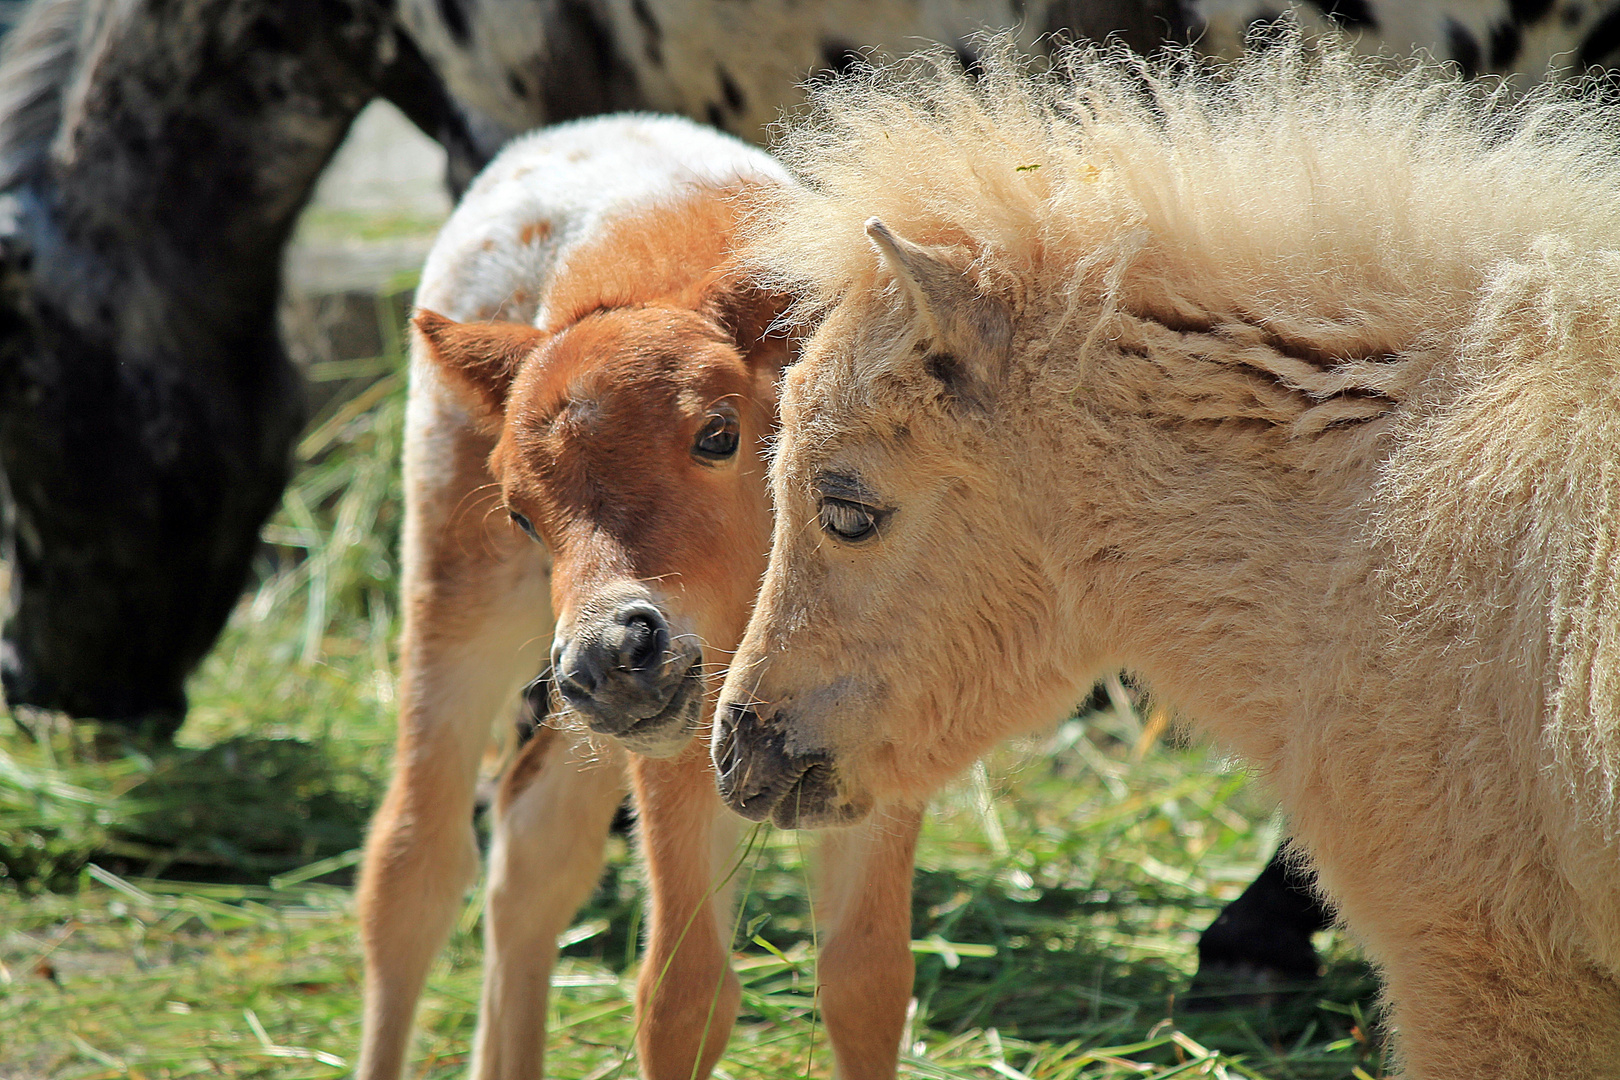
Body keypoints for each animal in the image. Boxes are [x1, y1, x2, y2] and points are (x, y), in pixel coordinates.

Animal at [359, 114, 920, 1075]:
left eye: (719, 434)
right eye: (520, 512)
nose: (610, 657)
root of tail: (574, 135)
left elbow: (867, 979)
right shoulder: (683, 738)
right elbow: (681, 997)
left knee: (531, 843)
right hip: (463, 599)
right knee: (413, 869)